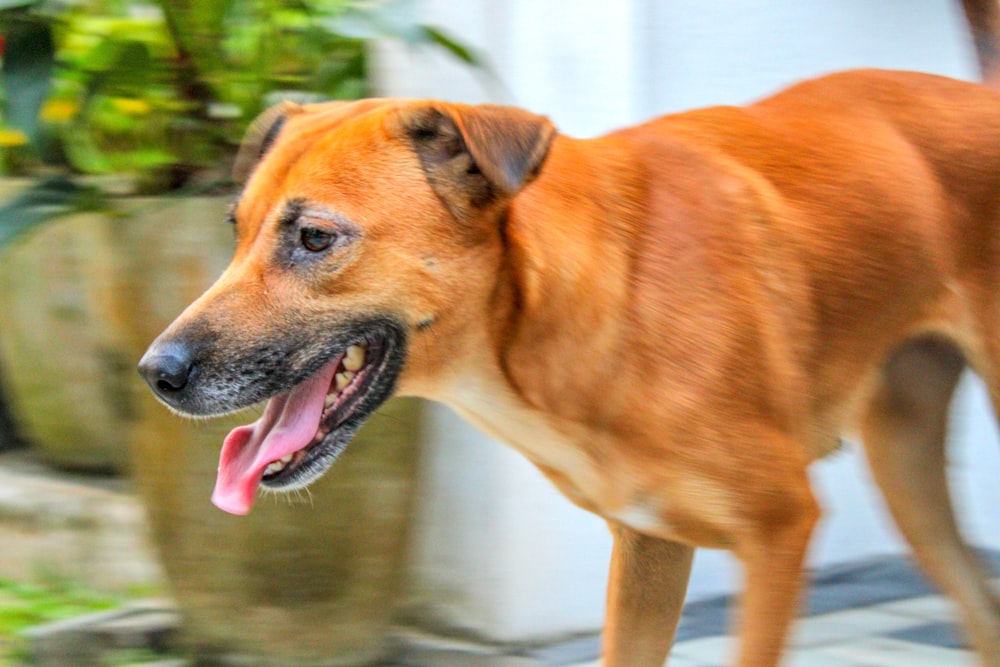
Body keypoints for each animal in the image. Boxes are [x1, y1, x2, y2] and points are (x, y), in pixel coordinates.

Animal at [139, 70, 1000, 664]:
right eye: (237, 228)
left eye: (314, 237)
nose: (156, 373)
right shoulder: (650, 550)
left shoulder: (781, 528)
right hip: (906, 472)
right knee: (979, 610)